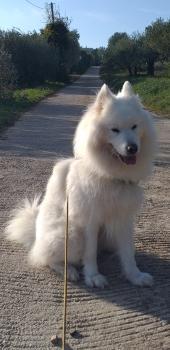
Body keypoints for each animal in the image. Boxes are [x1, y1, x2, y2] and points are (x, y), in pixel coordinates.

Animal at [5, 82, 156, 288]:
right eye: (114, 130)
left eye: (134, 126)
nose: (132, 148)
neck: (109, 174)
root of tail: (35, 236)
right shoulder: (89, 221)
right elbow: (90, 253)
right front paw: (93, 276)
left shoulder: (124, 218)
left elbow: (128, 252)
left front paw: (135, 276)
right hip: (71, 234)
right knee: (45, 258)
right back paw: (68, 271)